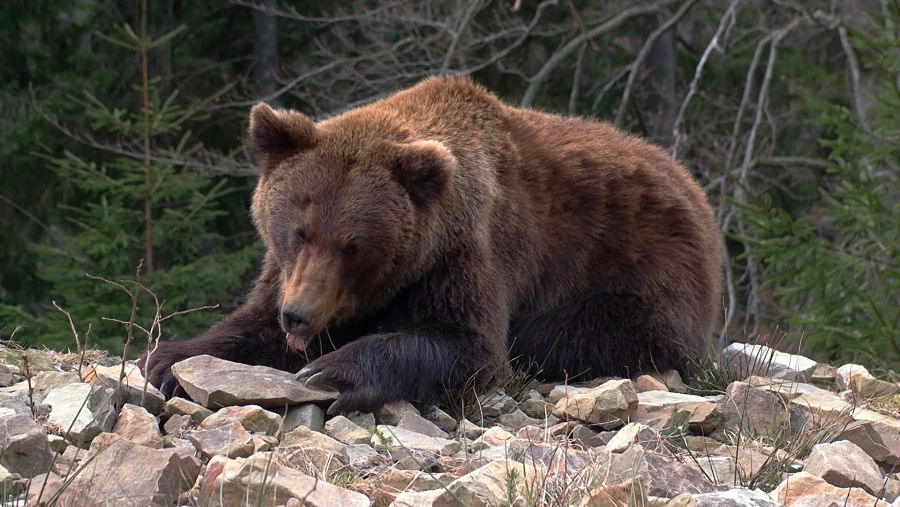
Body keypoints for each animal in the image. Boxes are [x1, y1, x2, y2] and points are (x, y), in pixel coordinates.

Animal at [141, 76, 722, 414]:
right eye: (299, 230)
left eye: (352, 245)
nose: (300, 315)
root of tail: (691, 184)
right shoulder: (284, 275)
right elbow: (248, 324)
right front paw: (169, 360)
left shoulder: (466, 252)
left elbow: (466, 344)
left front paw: (332, 372)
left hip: (642, 260)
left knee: (577, 331)